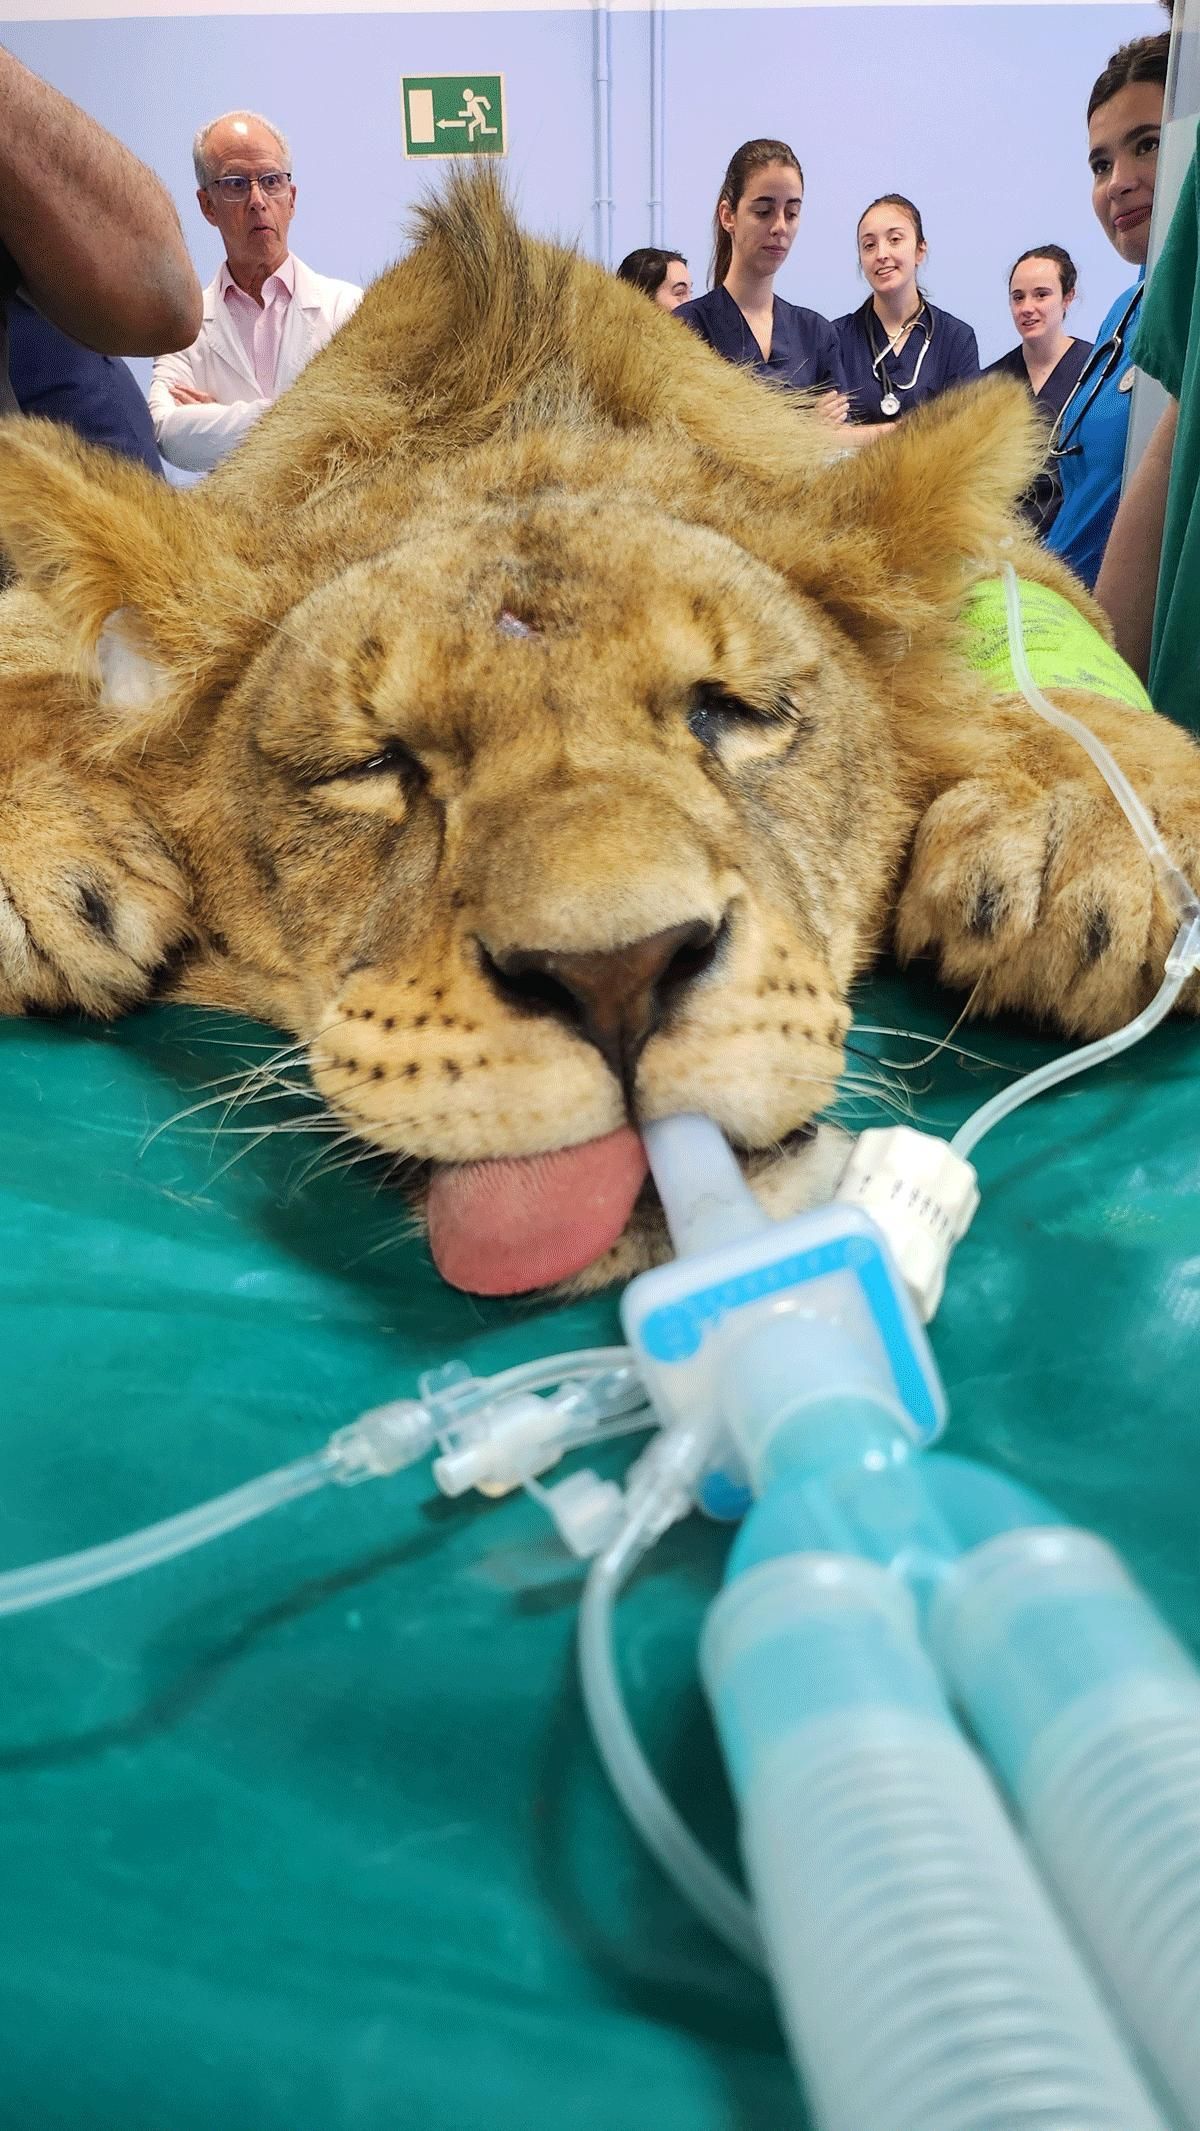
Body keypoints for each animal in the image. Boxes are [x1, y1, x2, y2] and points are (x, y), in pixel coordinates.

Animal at [0, 171, 1197, 1297]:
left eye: (733, 712)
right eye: (372, 764)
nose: (616, 977)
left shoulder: (1010, 563)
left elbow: (1055, 681)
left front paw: (1099, 839)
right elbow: (26, 653)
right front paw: (40, 870)